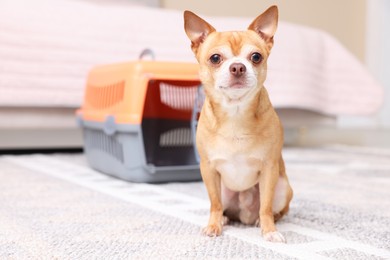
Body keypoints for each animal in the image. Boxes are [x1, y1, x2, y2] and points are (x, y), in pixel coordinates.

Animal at [184, 5, 292, 242]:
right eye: (215, 58)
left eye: (256, 56)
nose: (237, 67)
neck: (235, 112)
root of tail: (244, 216)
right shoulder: (208, 169)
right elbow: (214, 204)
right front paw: (213, 226)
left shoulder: (269, 168)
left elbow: (266, 206)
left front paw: (269, 231)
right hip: (225, 190)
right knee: (221, 207)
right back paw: (224, 219)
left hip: (283, 187)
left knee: (272, 210)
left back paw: (262, 221)